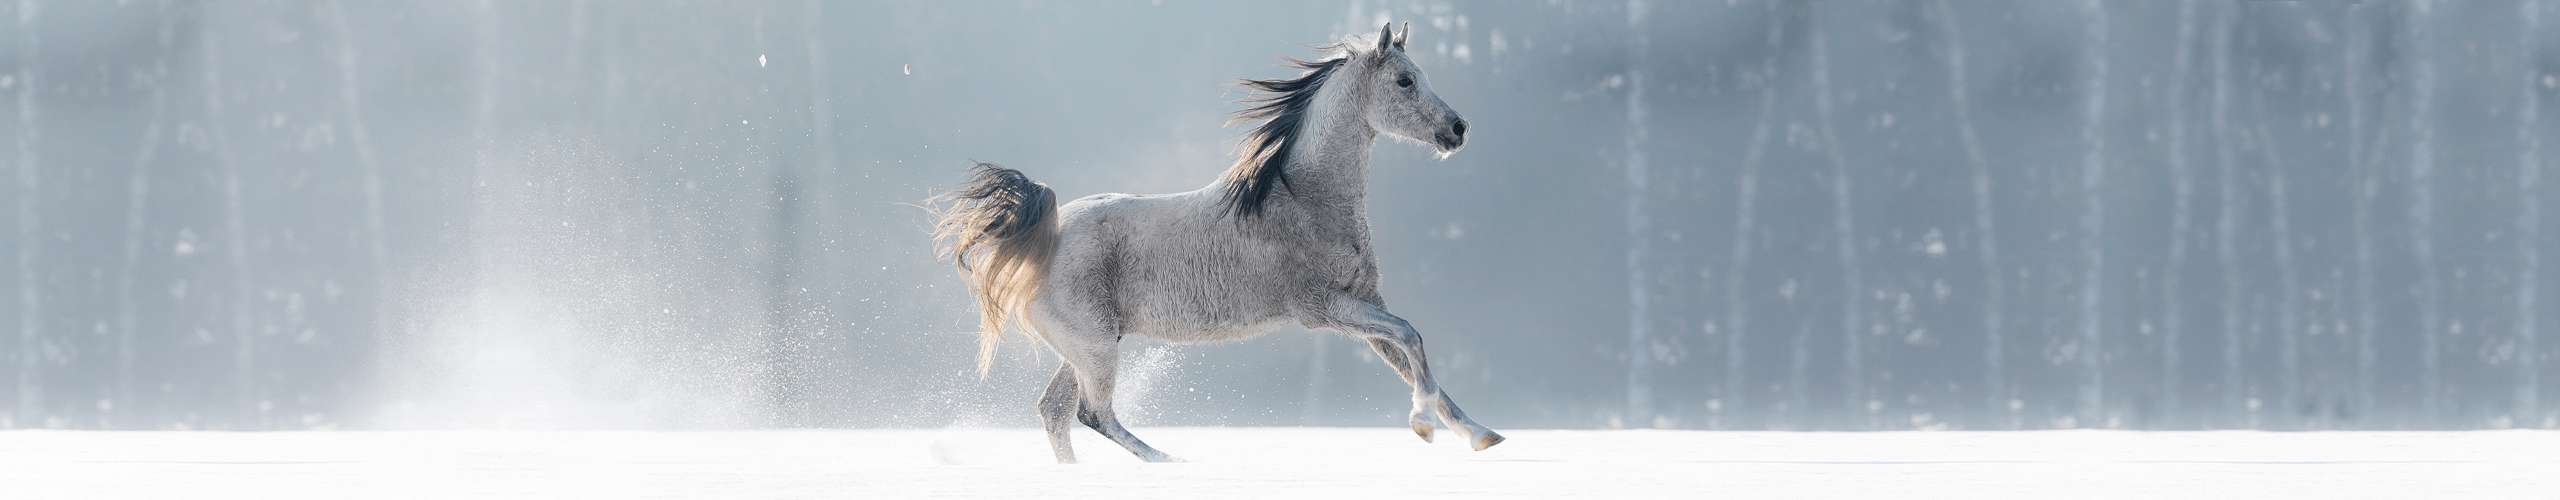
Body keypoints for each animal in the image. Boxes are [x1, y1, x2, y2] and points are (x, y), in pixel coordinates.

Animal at [936, 21, 1495, 464]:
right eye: (1405, 80)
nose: (1459, 129)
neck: (1306, 201)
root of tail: (1041, 237)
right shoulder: (1325, 309)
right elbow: (1411, 336)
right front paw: (1422, 425)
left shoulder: (1364, 303)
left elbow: (1413, 357)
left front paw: (1481, 435)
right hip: (1093, 347)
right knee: (1092, 413)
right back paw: (1171, 463)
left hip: (1086, 347)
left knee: (1054, 412)